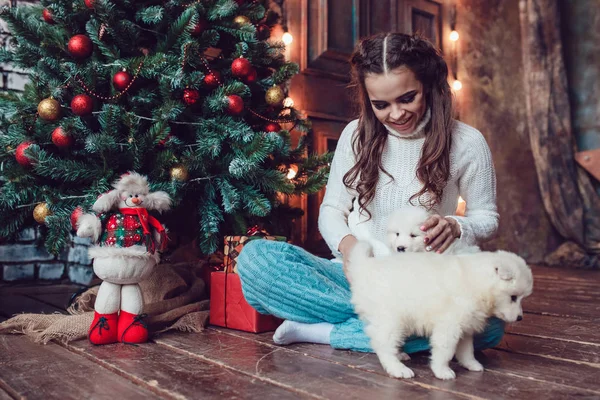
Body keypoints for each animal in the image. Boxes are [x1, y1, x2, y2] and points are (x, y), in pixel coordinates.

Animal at [346, 242, 536, 380]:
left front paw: (471, 364)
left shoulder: (466, 326)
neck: (477, 283)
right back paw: (398, 368)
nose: (520, 317)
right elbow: (445, 351)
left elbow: (466, 350)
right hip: (390, 318)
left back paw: (400, 355)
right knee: (383, 345)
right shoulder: (449, 326)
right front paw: (442, 371)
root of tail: (365, 267)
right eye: (513, 297)